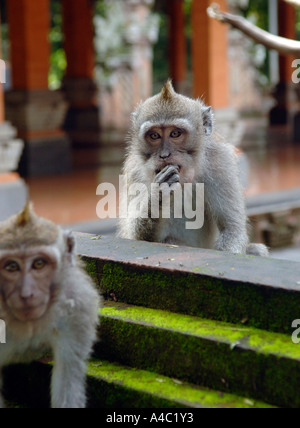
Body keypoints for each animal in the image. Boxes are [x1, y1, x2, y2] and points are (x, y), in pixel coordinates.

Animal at [118, 79, 270, 258]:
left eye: (175, 133)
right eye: (154, 135)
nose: (164, 155)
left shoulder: (220, 161)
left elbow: (232, 229)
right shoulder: (134, 171)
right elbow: (137, 239)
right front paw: (158, 194)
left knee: (256, 250)